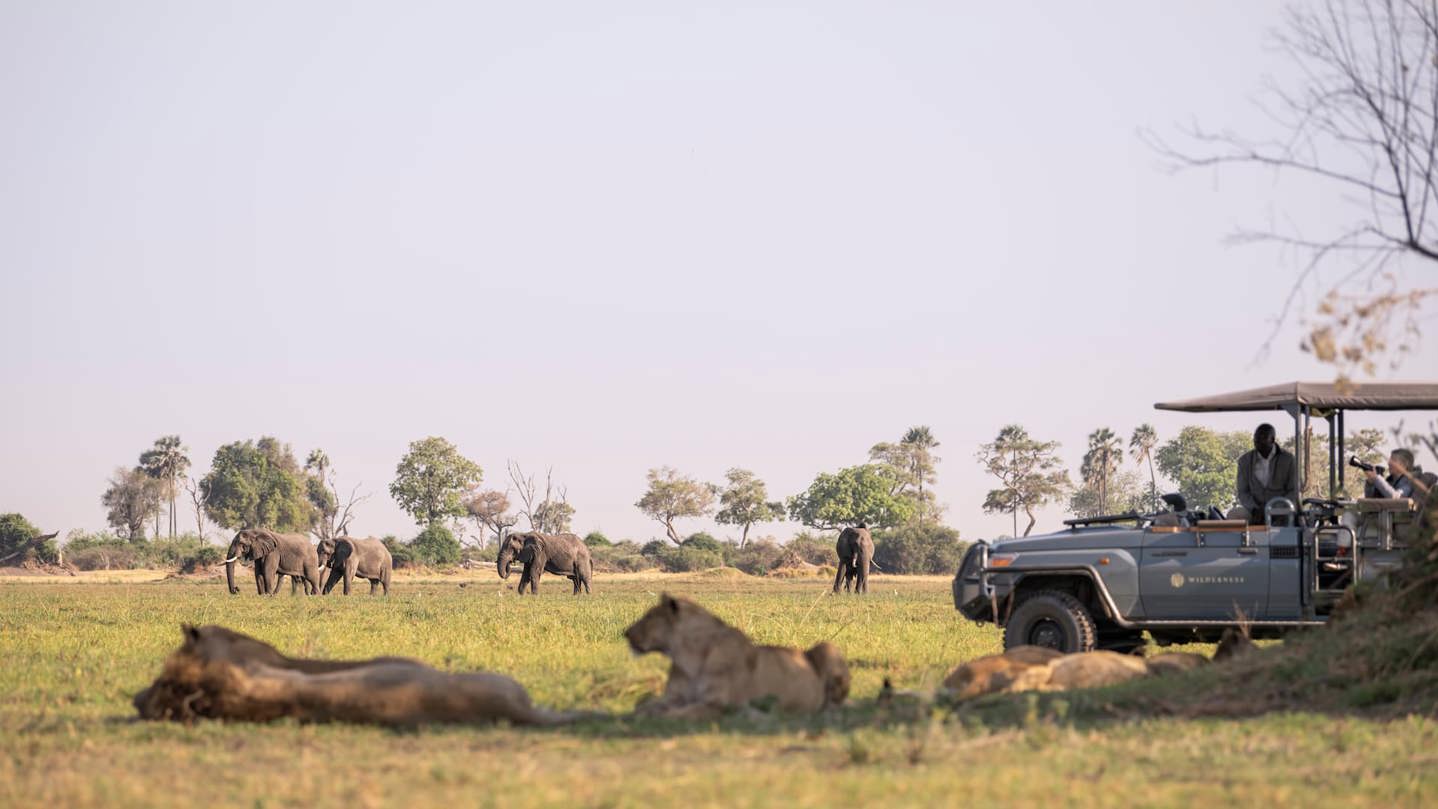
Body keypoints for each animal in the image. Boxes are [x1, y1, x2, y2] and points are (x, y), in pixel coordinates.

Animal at [623, 593, 850, 719]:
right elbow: (643, 707)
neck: (687, 658)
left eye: (649, 617)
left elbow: (681, 714)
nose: (625, 632)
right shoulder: (673, 697)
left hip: (827, 646)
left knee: (833, 705)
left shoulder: (717, 704)